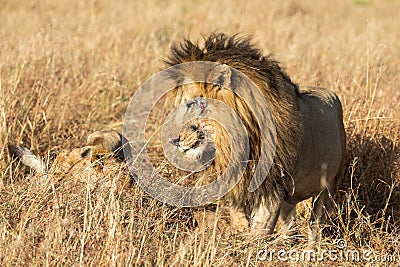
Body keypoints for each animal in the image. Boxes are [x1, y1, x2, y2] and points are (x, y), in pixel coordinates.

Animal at [164, 33, 346, 241]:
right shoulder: (236, 184)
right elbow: (239, 221)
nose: (173, 140)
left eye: (191, 104)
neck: (234, 143)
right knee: (289, 221)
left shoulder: (272, 188)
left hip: (327, 185)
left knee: (316, 221)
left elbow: (260, 230)